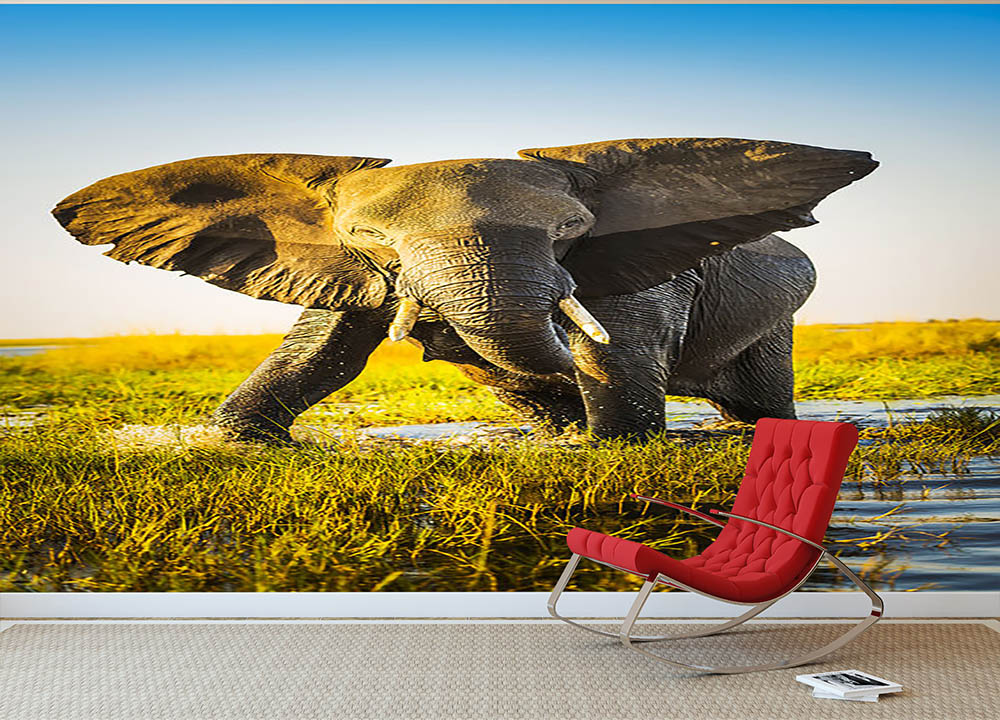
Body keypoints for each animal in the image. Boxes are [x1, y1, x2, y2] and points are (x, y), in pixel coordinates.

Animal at [52, 137, 877, 443]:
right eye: (370, 240)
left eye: (572, 229)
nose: (439, 334)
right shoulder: (355, 278)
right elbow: (321, 355)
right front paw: (242, 442)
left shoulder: (634, 273)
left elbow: (615, 358)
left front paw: (614, 445)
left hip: (778, 317)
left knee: (760, 405)